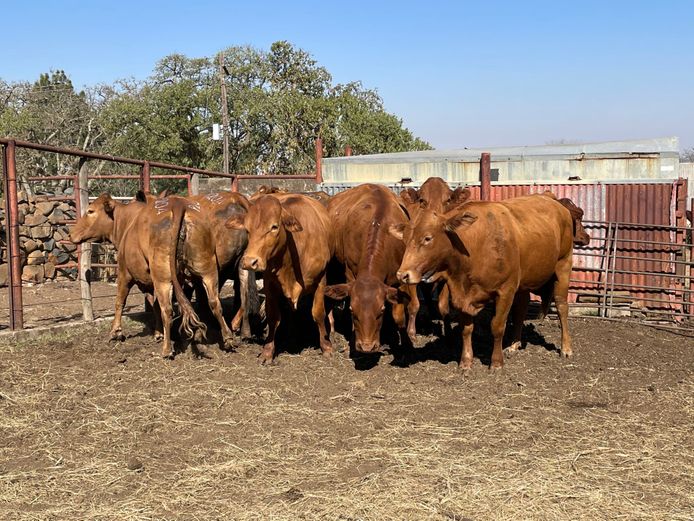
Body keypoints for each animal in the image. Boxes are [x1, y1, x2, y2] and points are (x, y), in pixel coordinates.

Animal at [70, 193, 205, 358]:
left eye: (90, 211)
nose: (71, 233)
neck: (126, 223)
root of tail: (177, 205)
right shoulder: (147, 283)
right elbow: (154, 306)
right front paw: (158, 333)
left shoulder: (124, 274)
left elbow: (120, 302)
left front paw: (115, 332)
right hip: (192, 276)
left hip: (162, 279)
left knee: (167, 309)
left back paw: (167, 349)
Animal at [226, 193, 335, 364]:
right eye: (247, 229)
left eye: (274, 227)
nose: (250, 261)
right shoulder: (269, 284)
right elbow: (273, 317)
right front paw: (267, 351)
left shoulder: (321, 280)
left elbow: (318, 313)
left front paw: (326, 346)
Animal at [323, 184, 419, 357]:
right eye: (353, 311)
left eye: (381, 311)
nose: (367, 347)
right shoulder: (349, 272)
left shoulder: (400, 278)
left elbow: (399, 316)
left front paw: (405, 344)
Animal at [392, 192, 576, 370]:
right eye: (405, 239)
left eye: (427, 238)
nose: (402, 274)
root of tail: (553, 200)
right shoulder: (462, 295)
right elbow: (466, 329)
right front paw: (466, 362)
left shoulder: (505, 291)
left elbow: (497, 326)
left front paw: (496, 362)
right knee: (521, 308)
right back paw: (514, 345)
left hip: (563, 265)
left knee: (561, 306)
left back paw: (566, 348)